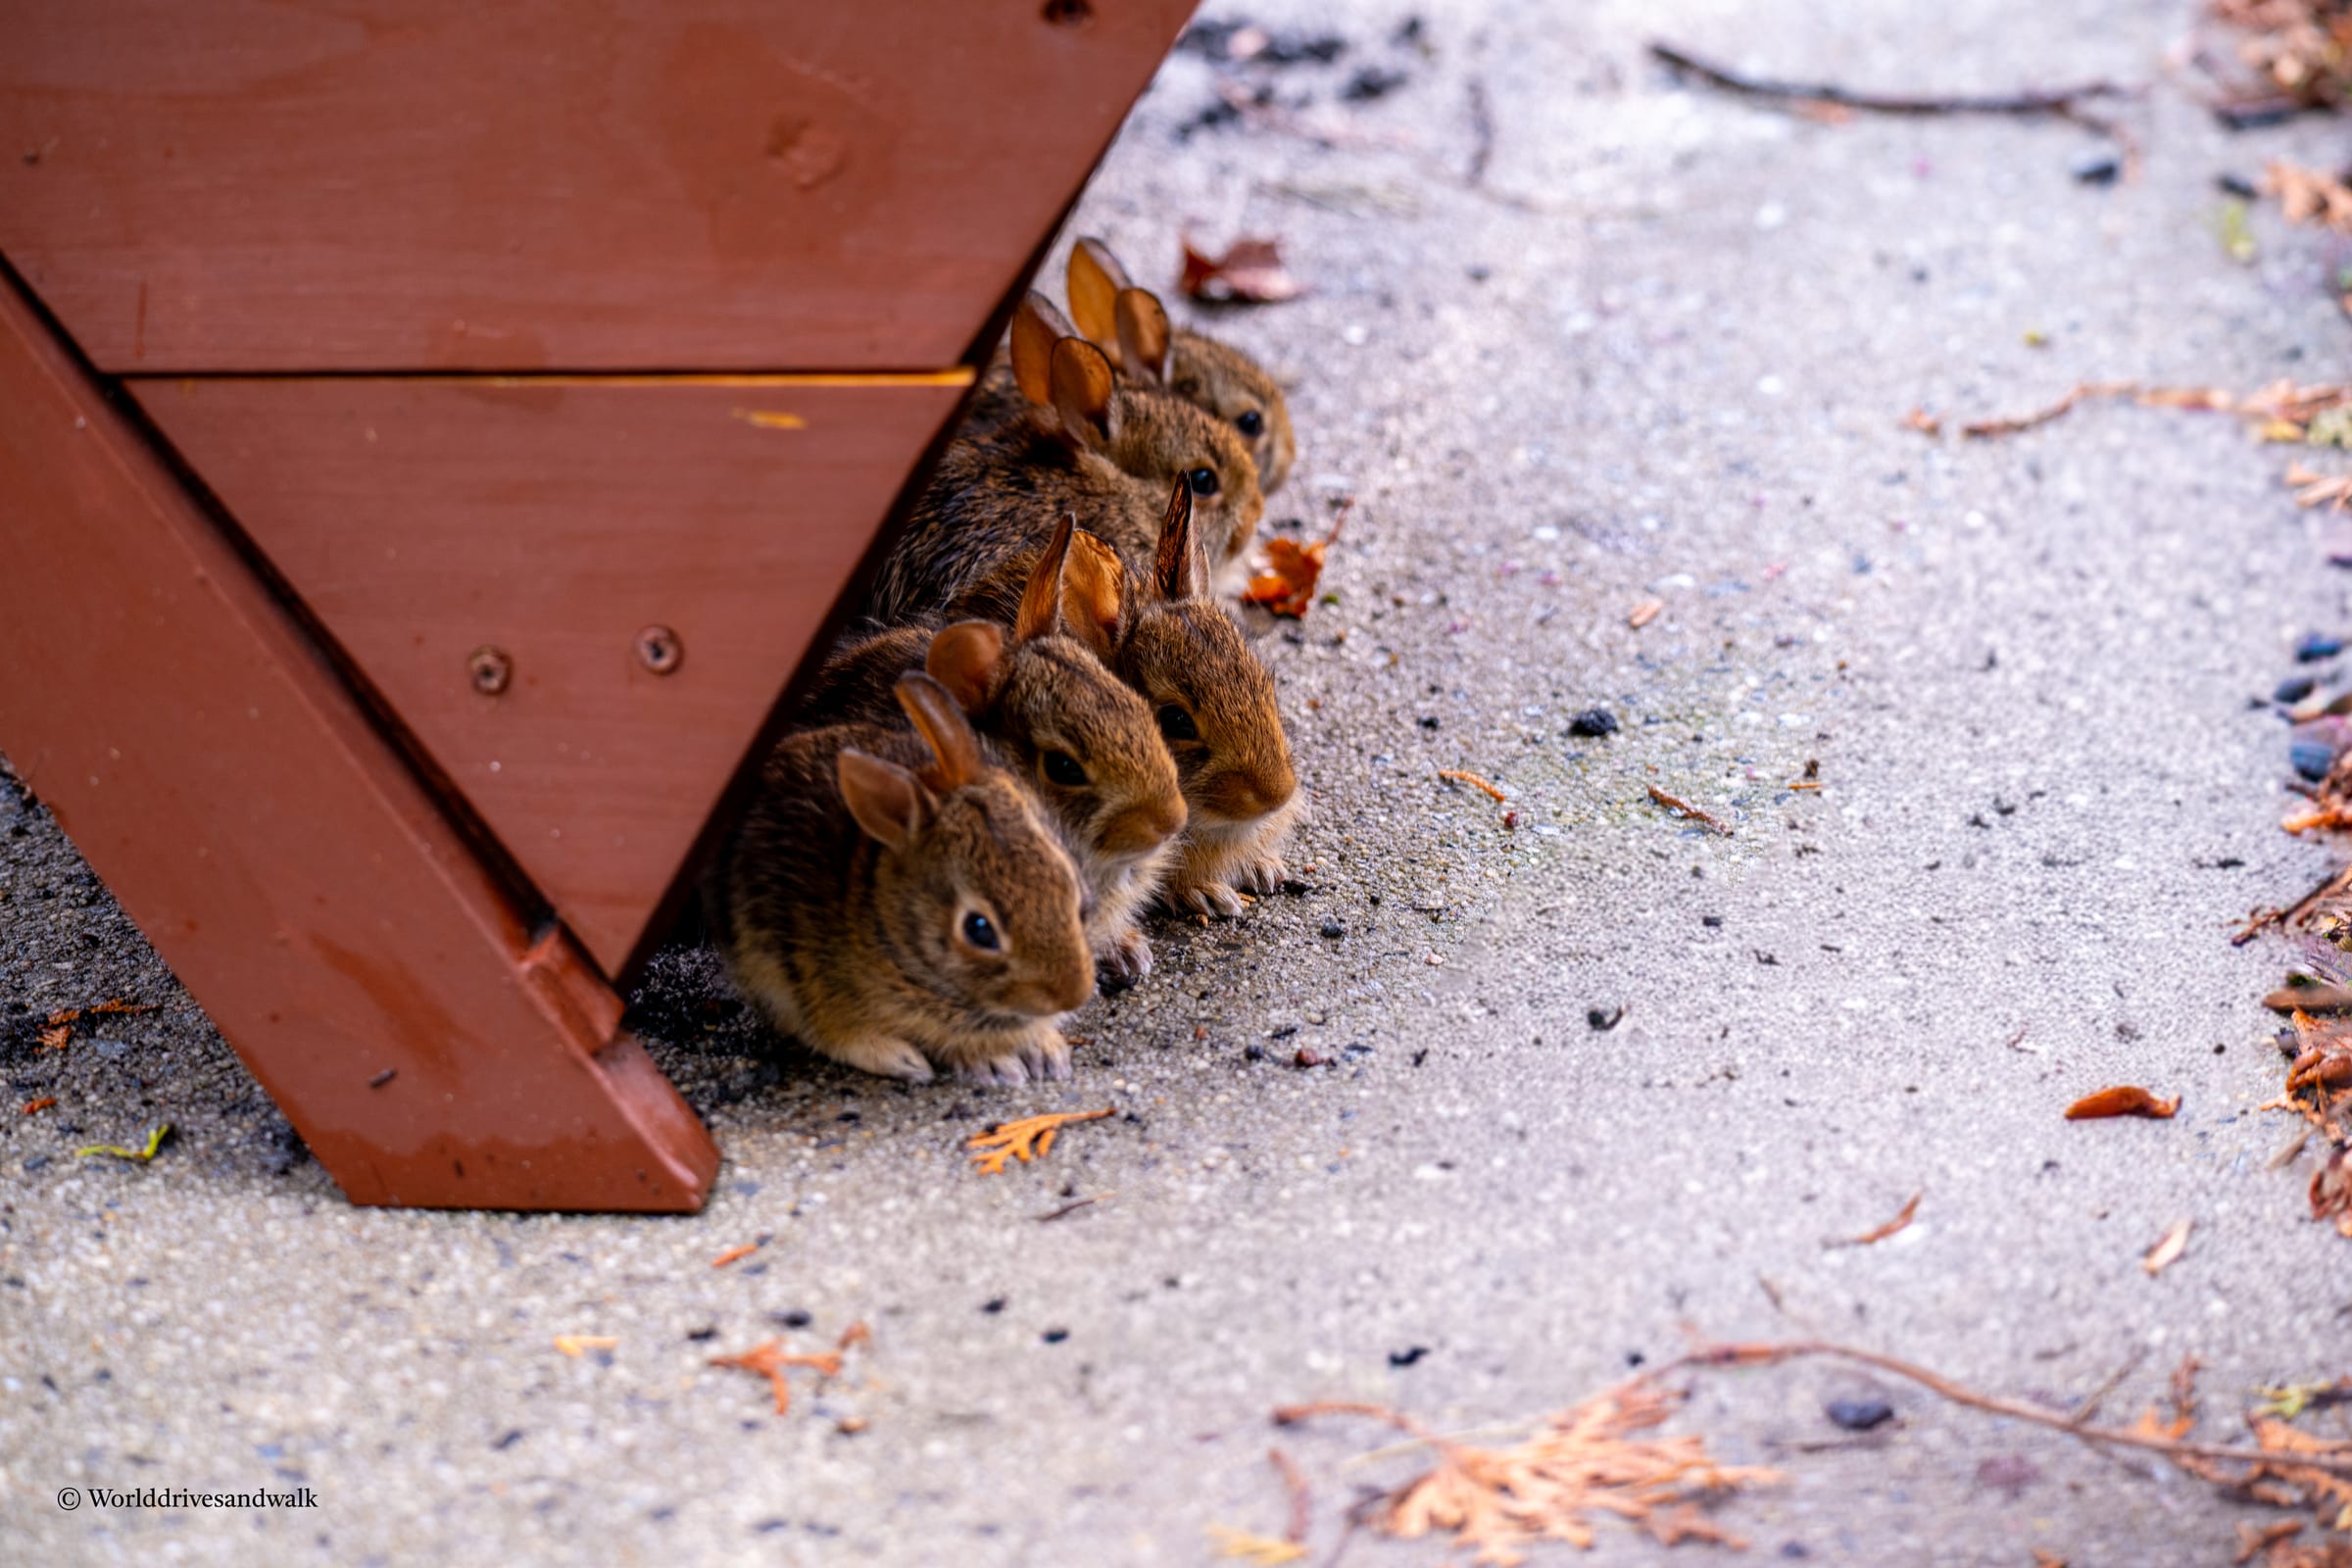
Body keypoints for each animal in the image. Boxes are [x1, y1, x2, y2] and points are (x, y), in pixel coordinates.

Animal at [711, 670, 1094, 1085]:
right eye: (979, 930)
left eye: (1071, 888)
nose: (1074, 993)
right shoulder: (805, 973)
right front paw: (992, 1063)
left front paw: (1045, 1050)